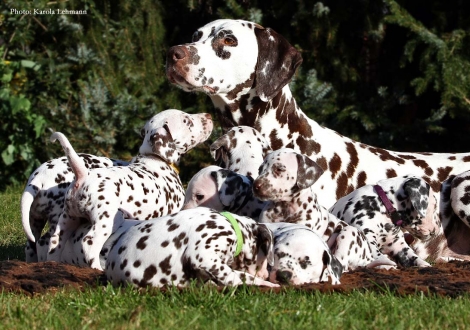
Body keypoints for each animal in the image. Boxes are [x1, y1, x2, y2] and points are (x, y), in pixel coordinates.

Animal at [45, 109, 213, 270]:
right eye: (187, 121)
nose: (209, 115)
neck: (155, 159)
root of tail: (84, 175)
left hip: (69, 218)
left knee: (55, 241)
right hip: (106, 220)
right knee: (89, 242)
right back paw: (97, 268)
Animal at [253, 149, 396, 270]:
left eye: (279, 169)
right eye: (259, 169)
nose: (255, 186)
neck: (284, 208)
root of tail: (367, 258)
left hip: (348, 232)